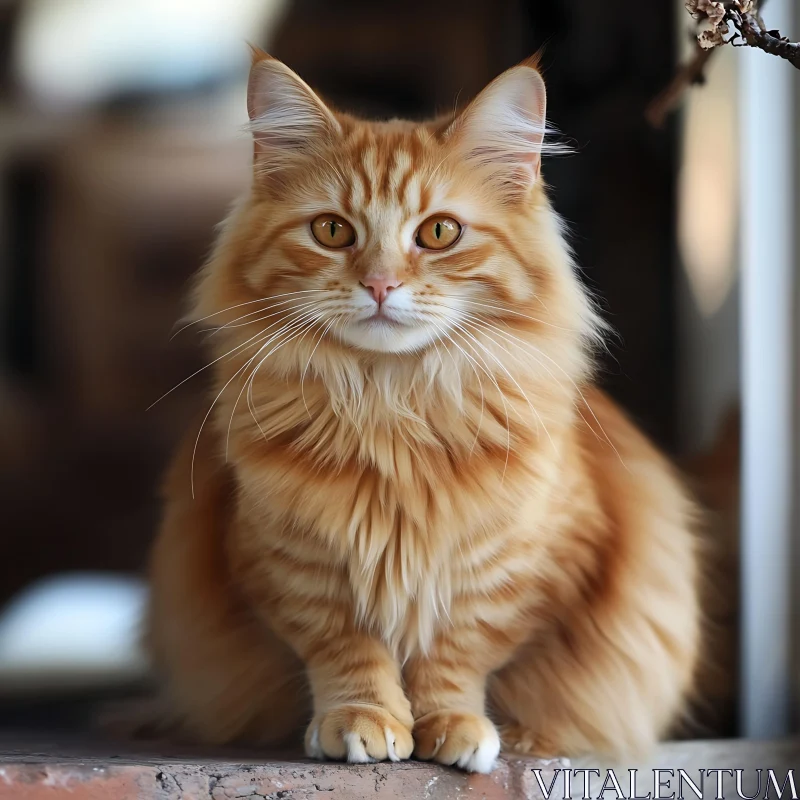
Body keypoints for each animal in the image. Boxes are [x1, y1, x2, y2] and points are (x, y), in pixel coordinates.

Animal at [147, 51, 696, 776]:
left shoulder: (516, 571)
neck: (393, 406)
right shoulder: (289, 566)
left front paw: (452, 725)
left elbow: (458, 653)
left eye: (439, 233)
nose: (380, 284)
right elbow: (346, 650)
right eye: (332, 231)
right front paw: (364, 718)